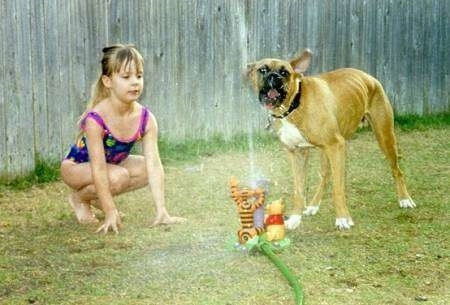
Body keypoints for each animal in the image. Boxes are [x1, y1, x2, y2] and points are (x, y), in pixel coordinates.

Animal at [246, 49, 414, 228]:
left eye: (285, 72)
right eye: (262, 70)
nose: (275, 77)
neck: (294, 104)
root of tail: (369, 77)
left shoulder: (336, 146)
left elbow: (338, 189)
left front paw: (343, 218)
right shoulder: (297, 153)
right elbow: (299, 189)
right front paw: (295, 218)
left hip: (385, 136)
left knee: (397, 171)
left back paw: (405, 199)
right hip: (326, 151)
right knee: (325, 176)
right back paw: (313, 205)